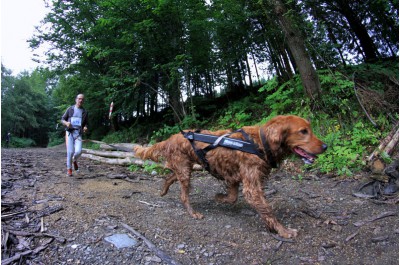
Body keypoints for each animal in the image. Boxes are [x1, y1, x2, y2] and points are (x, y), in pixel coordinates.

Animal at [134, 114, 328, 238]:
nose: (326, 146)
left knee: (170, 177)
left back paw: (163, 190)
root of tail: (170, 138)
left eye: (310, 129)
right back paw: (192, 212)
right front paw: (284, 231)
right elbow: (267, 210)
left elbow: (233, 197)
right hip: (184, 170)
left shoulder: (234, 177)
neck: (260, 143)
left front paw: (220, 197)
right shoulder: (251, 186)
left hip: (185, 168)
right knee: (183, 195)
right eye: (303, 131)